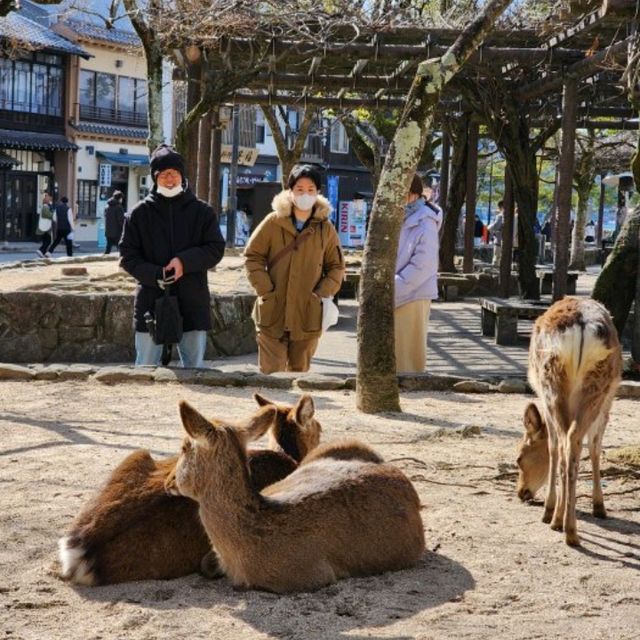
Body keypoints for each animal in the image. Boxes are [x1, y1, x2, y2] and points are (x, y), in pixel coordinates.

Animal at [516, 298, 624, 548]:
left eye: (519, 458)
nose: (520, 492)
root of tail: (582, 324)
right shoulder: (608, 401)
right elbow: (594, 446)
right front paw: (597, 506)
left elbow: (553, 448)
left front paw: (550, 510)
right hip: (595, 387)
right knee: (573, 442)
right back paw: (570, 528)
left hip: (553, 387)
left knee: (567, 443)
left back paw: (561, 523)